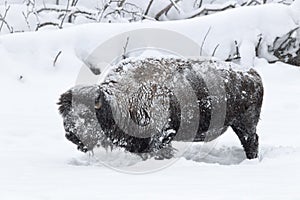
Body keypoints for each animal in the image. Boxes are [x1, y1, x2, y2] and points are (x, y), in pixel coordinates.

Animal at [58, 57, 262, 159]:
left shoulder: (160, 137)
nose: (70, 134)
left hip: (245, 125)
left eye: (87, 115)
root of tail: (252, 74)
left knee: (251, 142)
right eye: (66, 115)